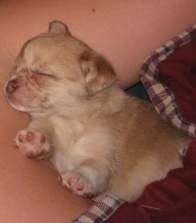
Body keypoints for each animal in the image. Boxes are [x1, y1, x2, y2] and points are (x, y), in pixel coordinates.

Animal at [4, 20, 191, 201]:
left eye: (42, 73)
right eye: (15, 69)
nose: (9, 84)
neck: (69, 122)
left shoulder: (102, 159)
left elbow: (93, 170)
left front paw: (79, 178)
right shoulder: (51, 133)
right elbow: (43, 129)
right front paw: (33, 141)